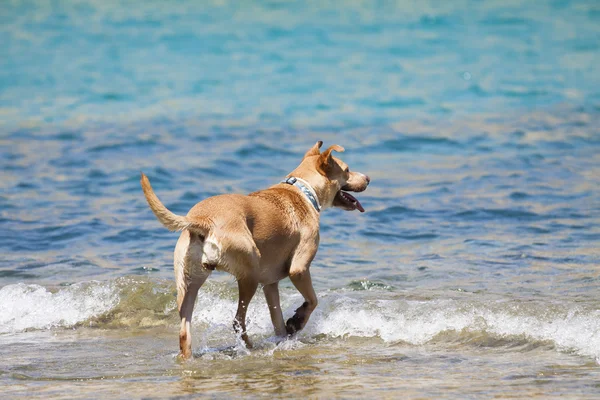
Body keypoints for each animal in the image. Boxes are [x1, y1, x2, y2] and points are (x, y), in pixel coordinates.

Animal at [142, 141, 370, 360]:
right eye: (347, 170)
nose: (367, 178)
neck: (304, 191)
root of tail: (203, 220)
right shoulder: (299, 269)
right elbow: (313, 300)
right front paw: (297, 321)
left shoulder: (270, 284)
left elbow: (277, 320)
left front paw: (285, 336)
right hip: (249, 274)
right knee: (237, 320)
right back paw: (250, 348)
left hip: (189, 283)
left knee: (184, 331)